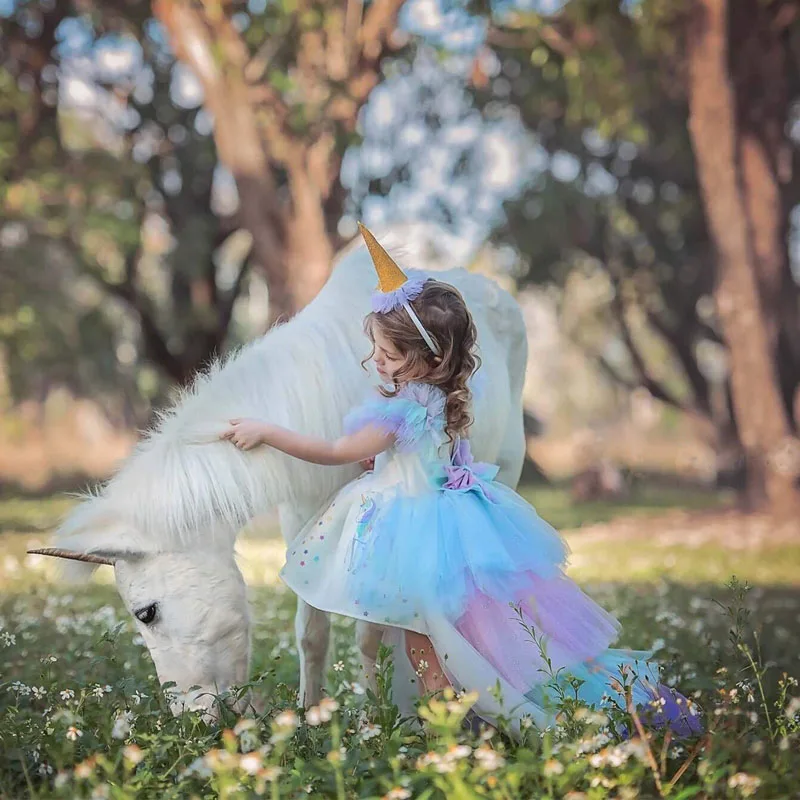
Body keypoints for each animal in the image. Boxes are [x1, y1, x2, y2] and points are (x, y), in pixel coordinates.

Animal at [32, 231, 532, 720]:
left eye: (146, 613)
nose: (188, 719)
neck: (328, 393)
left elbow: (368, 636)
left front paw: (375, 719)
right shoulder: (305, 517)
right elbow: (312, 632)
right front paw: (311, 715)